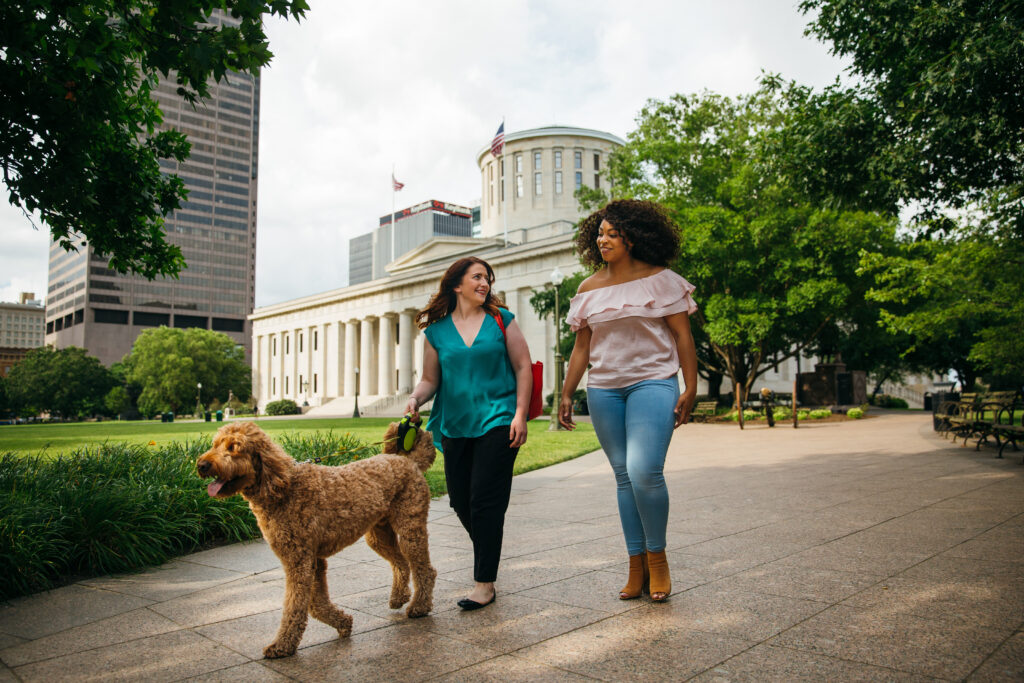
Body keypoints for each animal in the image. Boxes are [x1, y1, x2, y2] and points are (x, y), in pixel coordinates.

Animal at [195, 419, 436, 659]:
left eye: (234, 447)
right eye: (215, 444)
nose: (201, 465)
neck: (280, 487)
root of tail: (408, 461)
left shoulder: (299, 560)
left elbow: (297, 604)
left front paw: (283, 645)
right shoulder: (313, 560)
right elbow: (315, 603)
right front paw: (343, 622)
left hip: (409, 527)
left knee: (424, 570)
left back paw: (419, 606)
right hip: (378, 534)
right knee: (401, 563)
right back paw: (399, 597)